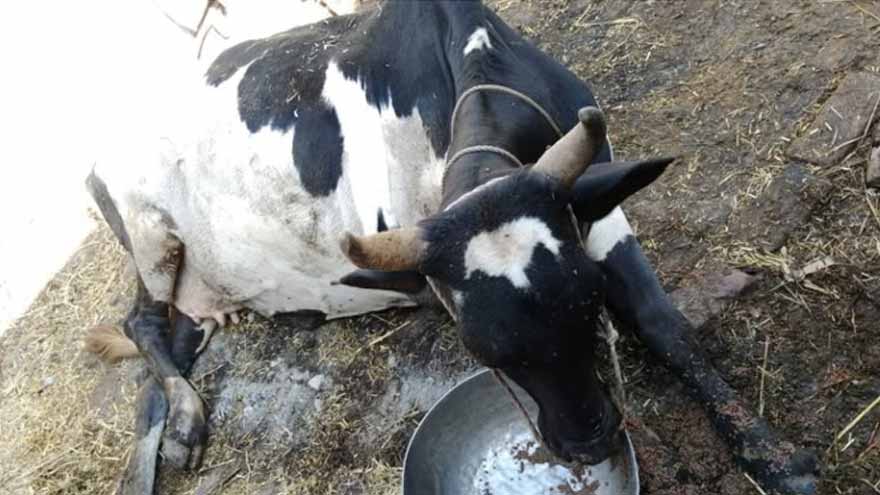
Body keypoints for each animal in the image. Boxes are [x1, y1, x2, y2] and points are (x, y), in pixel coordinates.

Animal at [85, 1, 817, 493]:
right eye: (484, 352)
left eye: (587, 309)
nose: (588, 443)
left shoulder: (598, 203)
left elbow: (665, 326)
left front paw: (776, 458)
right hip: (149, 234)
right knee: (141, 323)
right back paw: (182, 420)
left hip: (196, 291)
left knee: (163, 355)